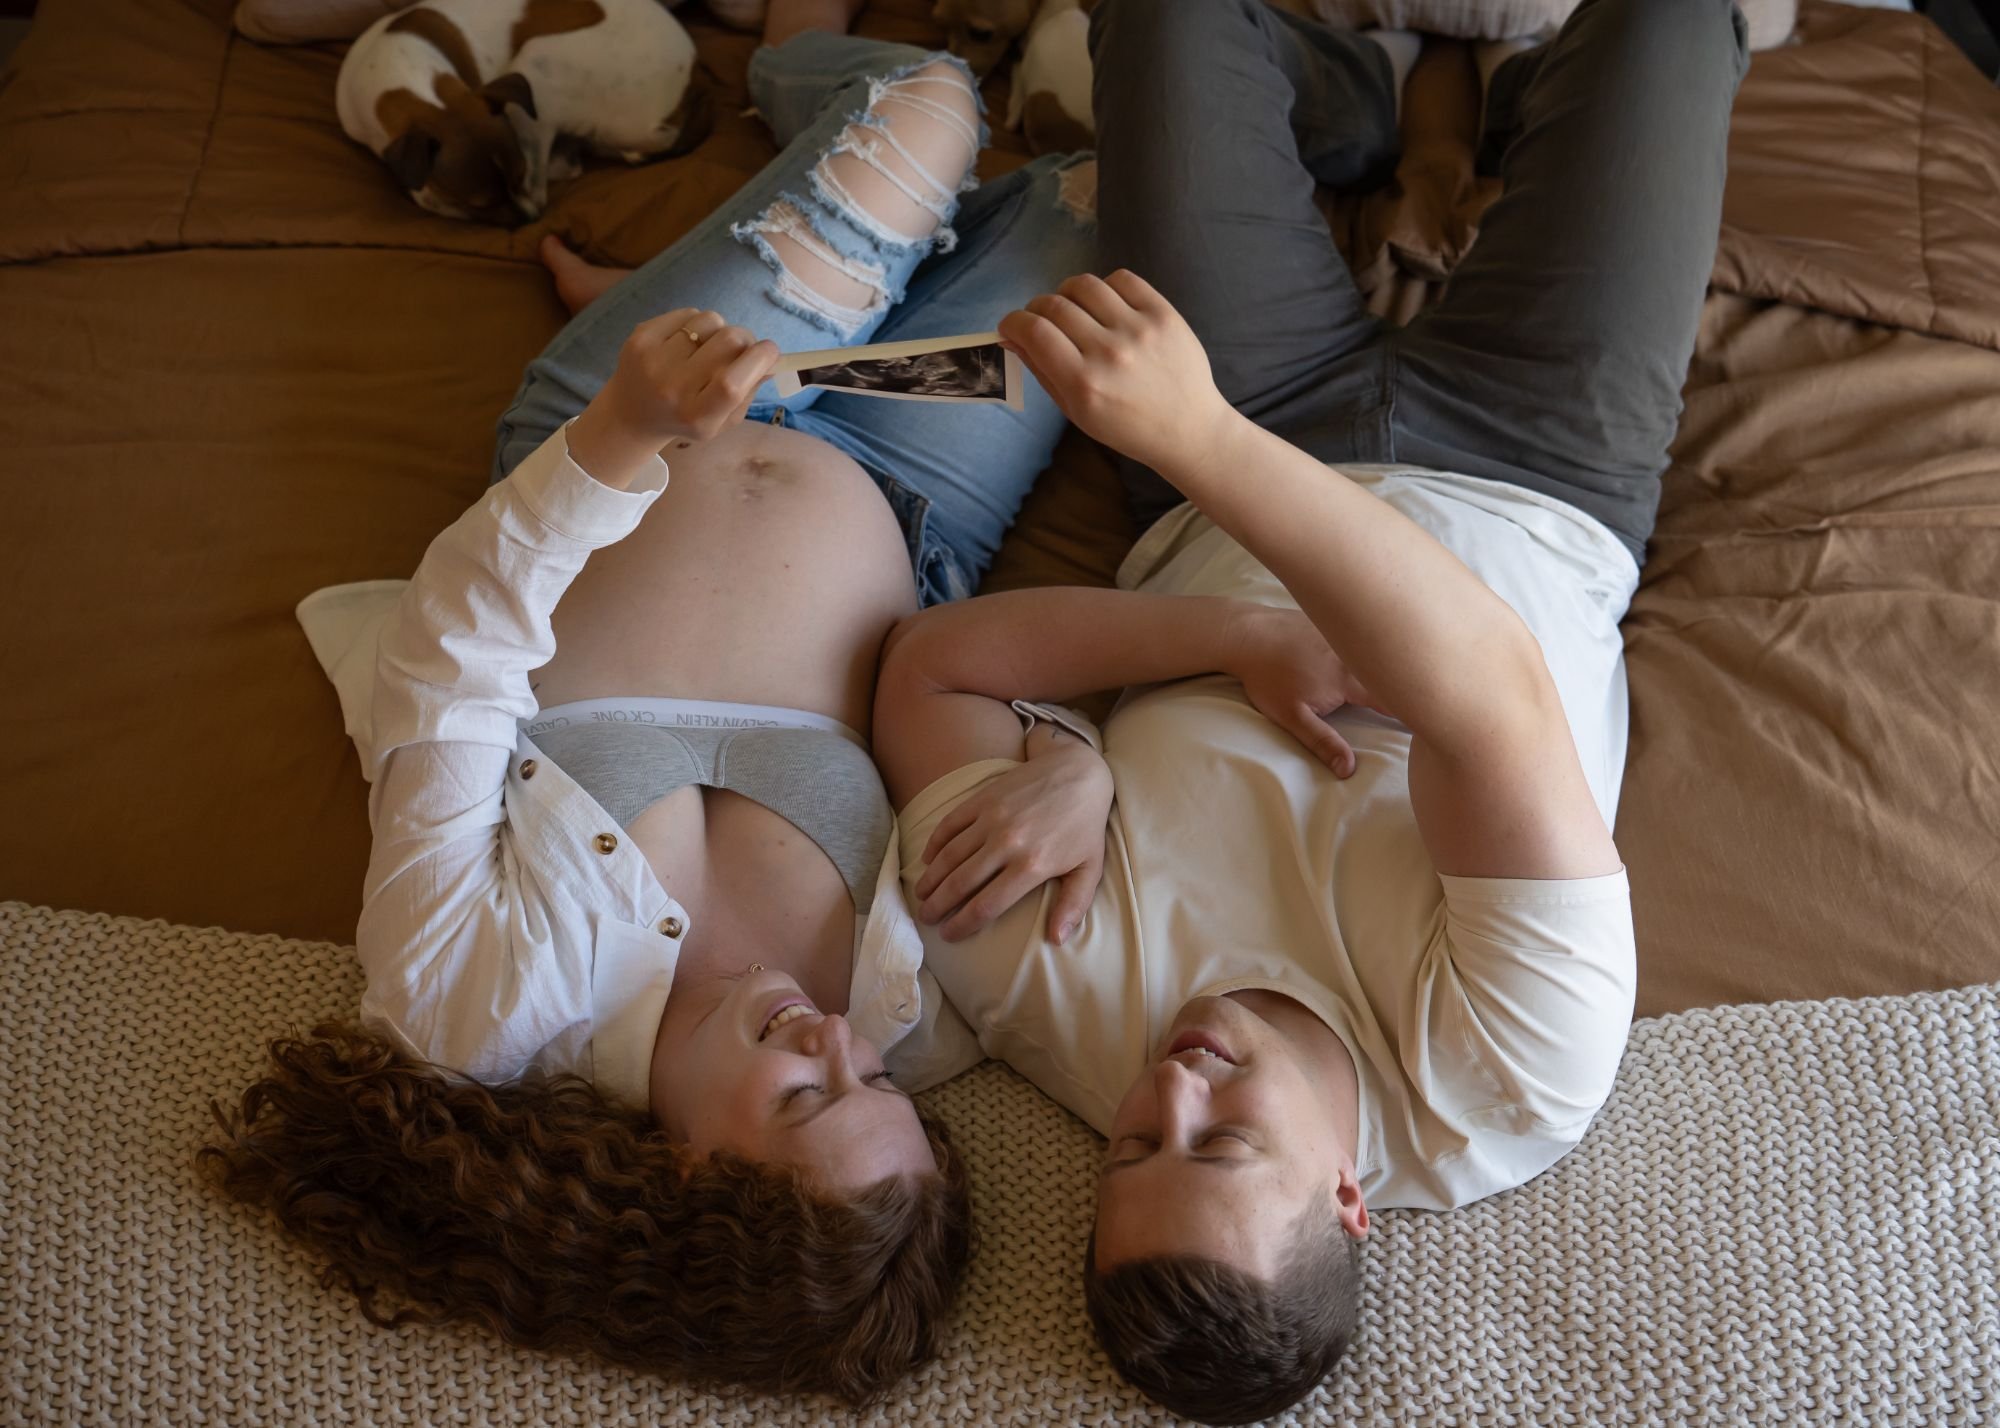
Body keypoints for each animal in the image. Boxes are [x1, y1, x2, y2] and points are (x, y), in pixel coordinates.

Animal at [337, 0, 703, 225]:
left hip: (539, 64)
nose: (531, 220)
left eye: (519, 174)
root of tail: (694, 89)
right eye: (481, 204)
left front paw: (431, 197)